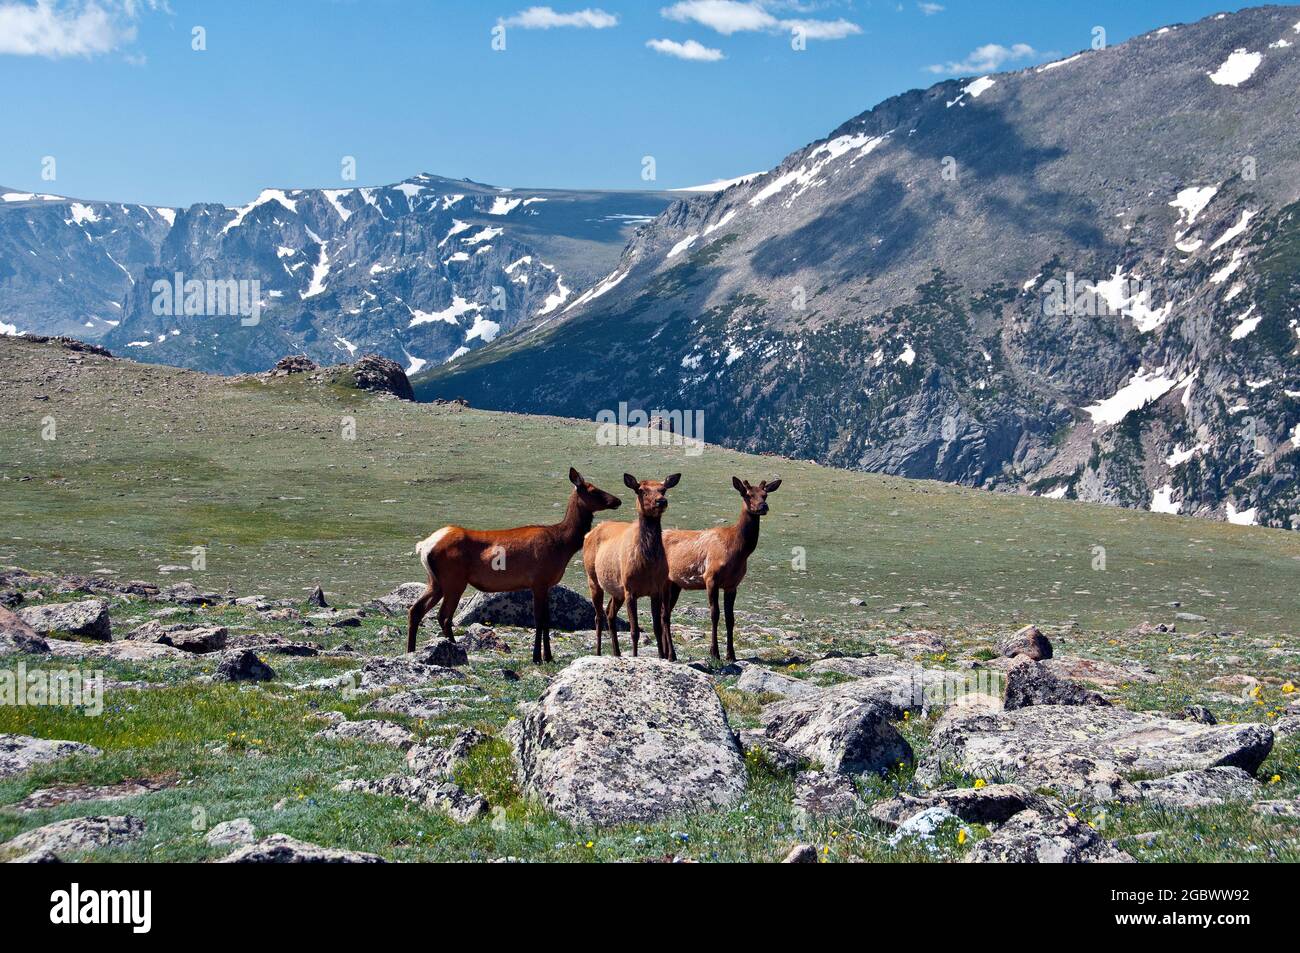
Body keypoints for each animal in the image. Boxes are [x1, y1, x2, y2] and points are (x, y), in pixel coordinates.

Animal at [410, 465, 624, 660]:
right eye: (593, 490)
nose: (618, 500)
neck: (562, 545)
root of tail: (425, 546)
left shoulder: (546, 584)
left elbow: (547, 619)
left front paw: (548, 656)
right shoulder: (538, 581)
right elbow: (539, 619)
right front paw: (537, 657)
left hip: (435, 581)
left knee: (416, 609)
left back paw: (411, 650)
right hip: (454, 580)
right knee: (444, 616)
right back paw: (456, 650)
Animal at [582, 470, 681, 660]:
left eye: (663, 489)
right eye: (641, 490)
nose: (661, 501)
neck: (647, 566)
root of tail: (588, 534)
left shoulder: (656, 589)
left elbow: (657, 627)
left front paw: (661, 656)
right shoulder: (630, 589)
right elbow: (634, 630)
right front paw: (635, 657)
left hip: (616, 589)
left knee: (609, 613)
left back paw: (617, 653)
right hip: (593, 578)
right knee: (598, 617)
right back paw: (598, 653)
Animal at [665, 478, 774, 657]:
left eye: (765, 495)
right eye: (748, 494)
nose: (763, 506)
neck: (738, 551)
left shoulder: (732, 584)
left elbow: (730, 618)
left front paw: (731, 655)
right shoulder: (710, 578)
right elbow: (714, 614)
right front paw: (714, 652)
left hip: (674, 584)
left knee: (664, 613)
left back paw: (668, 653)